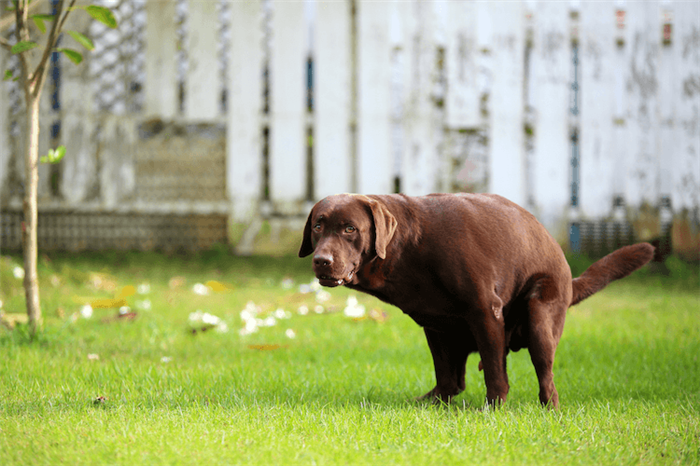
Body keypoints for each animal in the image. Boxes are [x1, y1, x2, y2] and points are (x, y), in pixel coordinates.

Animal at [298, 194, 652, 408]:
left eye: (349, 229)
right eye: (318, 226)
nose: (321, 261)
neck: (410, 247)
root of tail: (567, 272)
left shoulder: (485, 311)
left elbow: (495, 372)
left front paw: (493, 408)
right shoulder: (435, 325)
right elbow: (446, 375)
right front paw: (434, 404)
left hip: (541, 316)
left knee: (546, 377)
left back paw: (549, 409)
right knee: (456, 380)